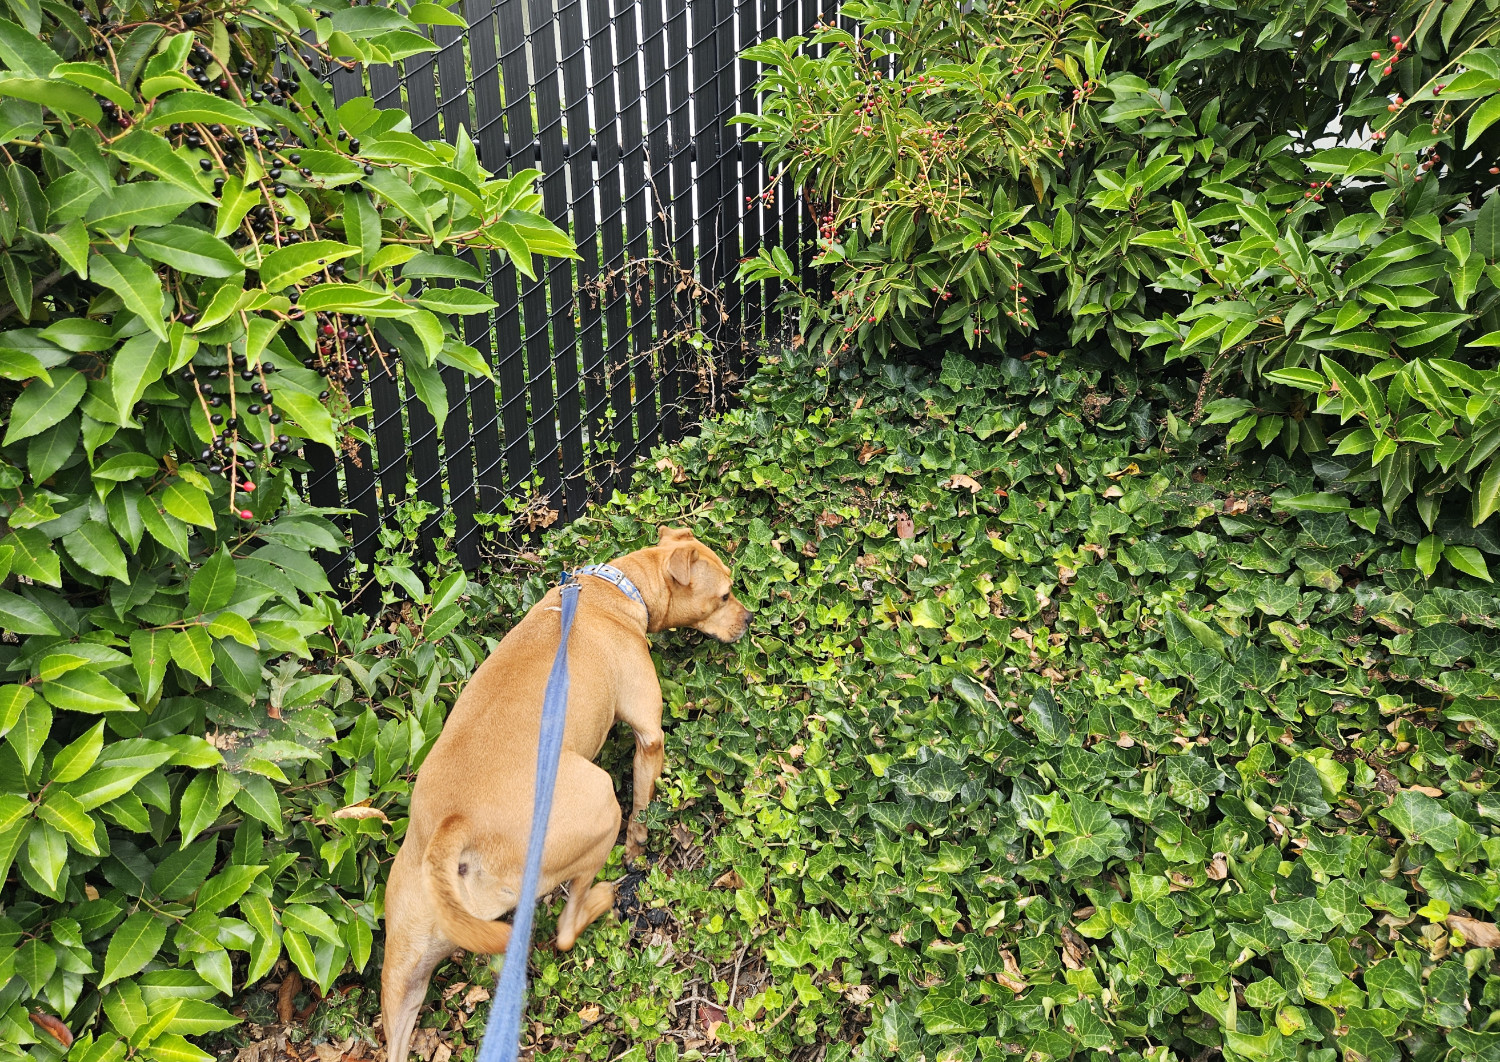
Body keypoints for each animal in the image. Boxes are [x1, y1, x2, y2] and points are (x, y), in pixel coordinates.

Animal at [378, 528, 747, 1056]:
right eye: (724, 596)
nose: (750, 619)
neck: (617, 588)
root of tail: (454, 825)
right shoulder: (649, 737)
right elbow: (643, 807)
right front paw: (639, 849)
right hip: (599, 806)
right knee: (567, 927)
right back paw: (609, 897)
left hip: (406, 965)